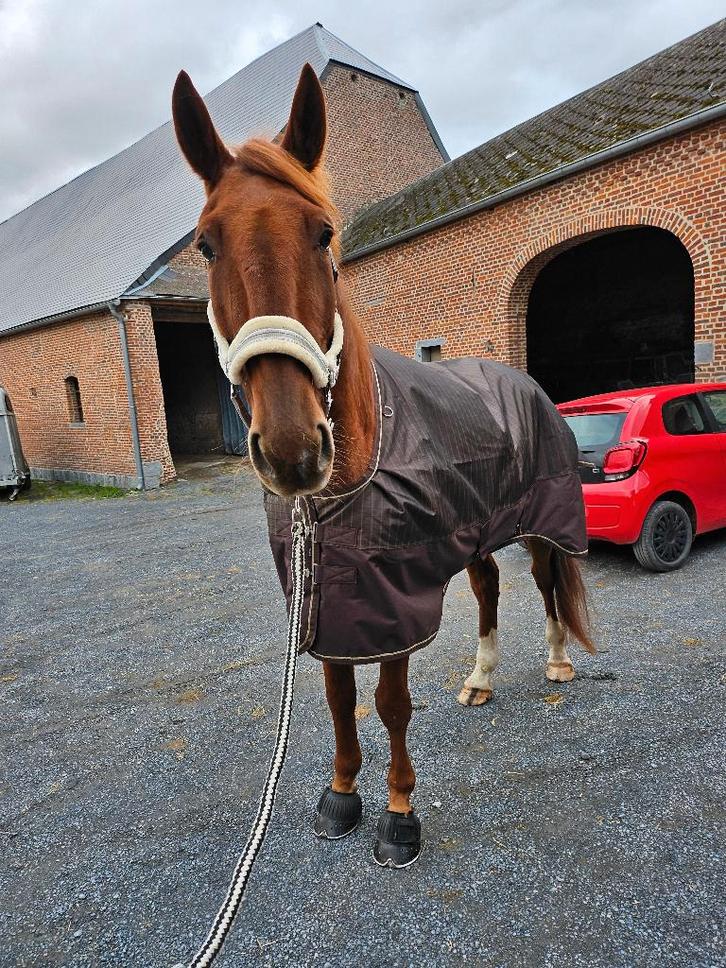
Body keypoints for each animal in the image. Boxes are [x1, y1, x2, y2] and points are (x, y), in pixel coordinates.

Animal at [172, 63, 594, 869]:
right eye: (206, 246)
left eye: (324, 233)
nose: (294, 449)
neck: (346, 480)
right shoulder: (330, 602)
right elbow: (341, 698)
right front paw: (342, 797)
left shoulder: (397, 597)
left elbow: (391, 702)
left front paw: (399, 815)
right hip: (471, 531)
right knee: (489, 590)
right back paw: (480, 679)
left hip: (538, 518)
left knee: (547, 582)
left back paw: (559, 662)